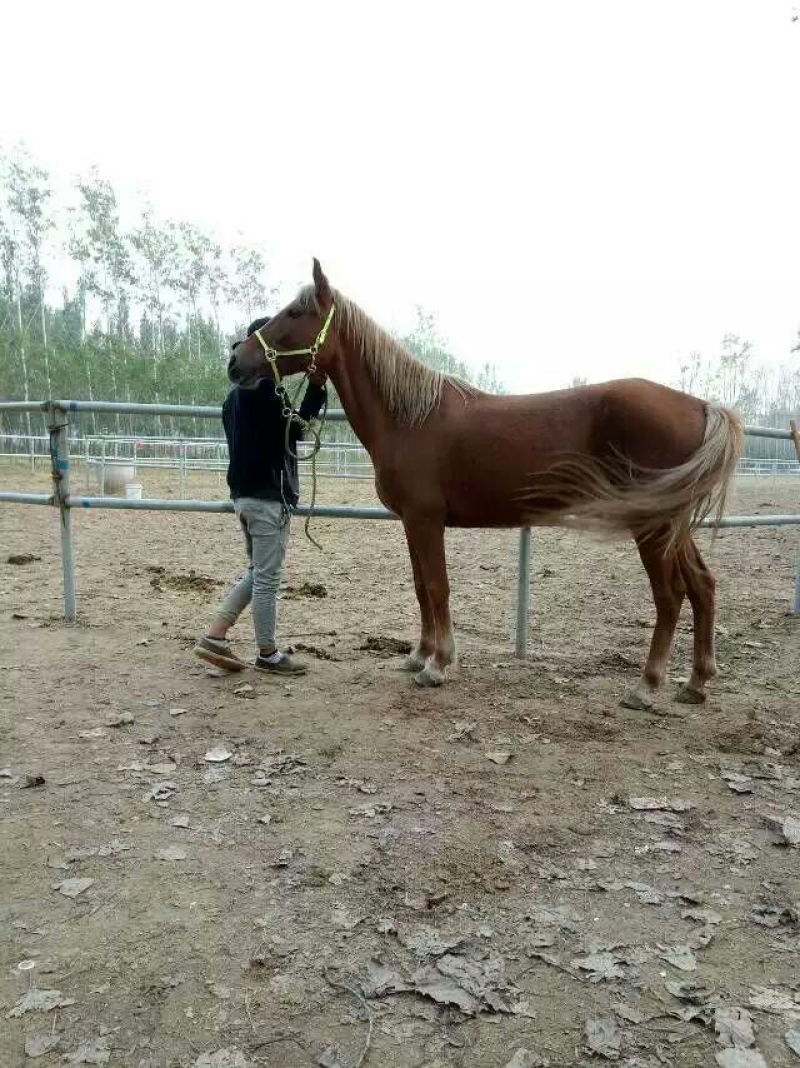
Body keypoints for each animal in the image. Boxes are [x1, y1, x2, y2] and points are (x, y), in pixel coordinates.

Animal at [229, 260, 743, 708]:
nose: (236, 360)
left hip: (651, 524)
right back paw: (696, 682)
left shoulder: (425, 520)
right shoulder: (411, 523)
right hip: (671, 522)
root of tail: (701, 405)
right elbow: (421, 587)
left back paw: (646, 686)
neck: (408, 417)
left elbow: (437, 587)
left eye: (295, 313)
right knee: (703, 584)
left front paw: (438, 665)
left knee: (670, 596)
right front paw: (418, 655)